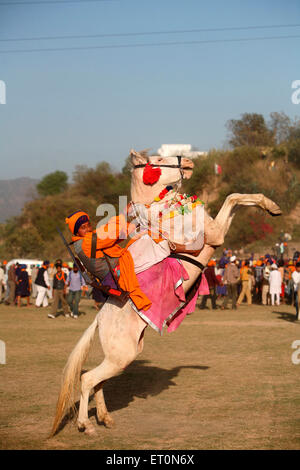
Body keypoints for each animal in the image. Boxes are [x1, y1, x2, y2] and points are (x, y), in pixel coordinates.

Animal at [50, 149, 282, 436]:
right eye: (158, 160)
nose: (189, 162)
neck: (161, 211)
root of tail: (99, 319)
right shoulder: (215, 234)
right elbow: (232, 198)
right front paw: (271, 206)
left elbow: (236, 197)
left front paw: (270, 205)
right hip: (121, 356)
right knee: (86, 378)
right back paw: (86, 424)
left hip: (120, 357)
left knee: (97, 381)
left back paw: (104, 418)